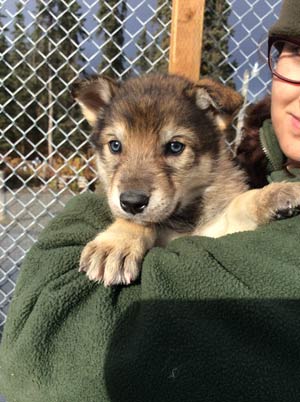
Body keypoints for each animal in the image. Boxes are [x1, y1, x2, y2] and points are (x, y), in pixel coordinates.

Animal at [74, 74, 300, 286]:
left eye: (175, 147)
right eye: (115, 145)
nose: (131, 202)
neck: (186, 218)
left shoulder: (218, 228)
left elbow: (240, 203)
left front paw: (277, 194)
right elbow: (139, 222)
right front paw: (114, 244)